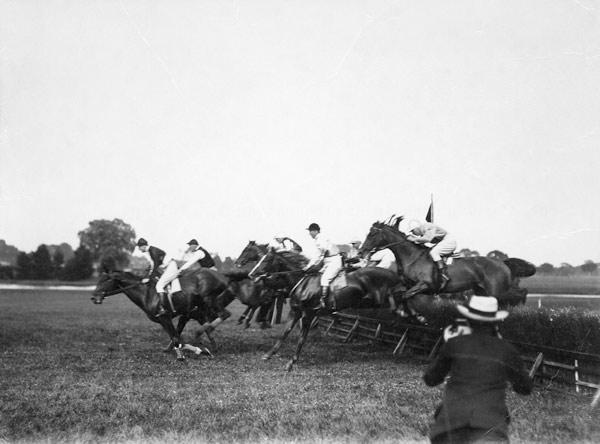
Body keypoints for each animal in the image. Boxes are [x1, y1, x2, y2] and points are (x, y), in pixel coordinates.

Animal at [91, 266, 237, 360]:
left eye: (105, 280)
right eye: (98, 279)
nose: (93, 297)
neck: (147, 294)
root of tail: (222, 276)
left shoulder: (165, 317)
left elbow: (177, 338)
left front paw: (196, 352)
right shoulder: (164, 320)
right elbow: (175, 337)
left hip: (210, 301)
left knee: (224, 315)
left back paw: (202, 332)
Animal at [251, 250, 406, 372]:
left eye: (266, 260)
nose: (252, 274)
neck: (302, 282)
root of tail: (393, 274)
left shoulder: (308, 314)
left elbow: (302, 338)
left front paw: (291, 363)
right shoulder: (295, 312)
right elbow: (285, 333)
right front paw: (268, 354)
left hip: (382, 298)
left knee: (398, 300)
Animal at [358, 219, 536, 316]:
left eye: (372, 234)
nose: (361, 252)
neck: (412, 257)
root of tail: (503, 262)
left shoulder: (425, 285)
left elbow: (403, 297)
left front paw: (411, 315)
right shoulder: (408, 285)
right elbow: (399, 295)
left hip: (496, 291)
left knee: (516, 297)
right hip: (481, 292)